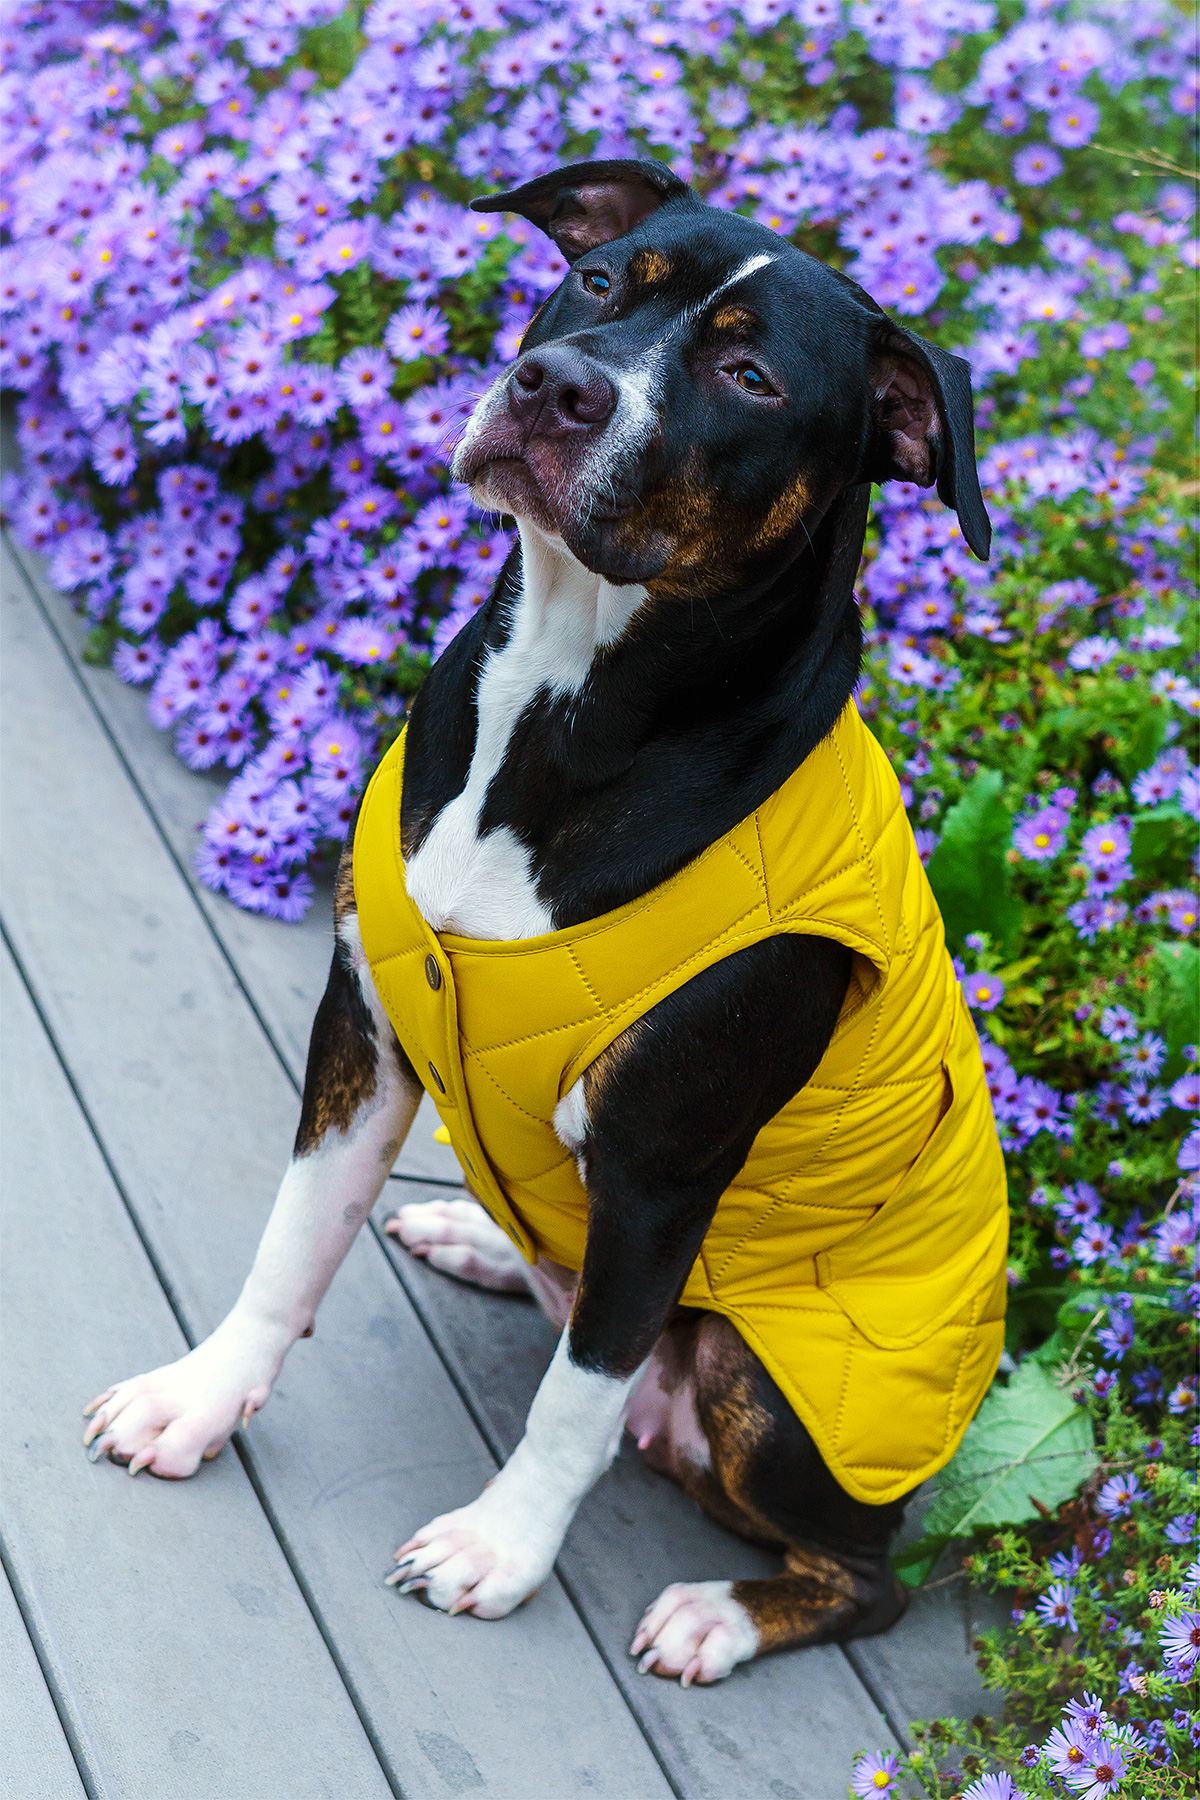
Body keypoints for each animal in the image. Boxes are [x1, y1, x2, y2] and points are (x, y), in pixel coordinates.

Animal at [82, 158, 1014, 1684]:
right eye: (596, 283)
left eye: (750, 375)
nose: (559, 386)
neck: (565, 699)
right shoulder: (365, 1029)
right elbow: (293, 1240)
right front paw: (201, 1397)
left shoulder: (661, 1170)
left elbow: (577, 1400)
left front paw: (498, 1550)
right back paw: (478, 1232)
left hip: (775, 1399)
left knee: (861, 1572)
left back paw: (720, 1613)